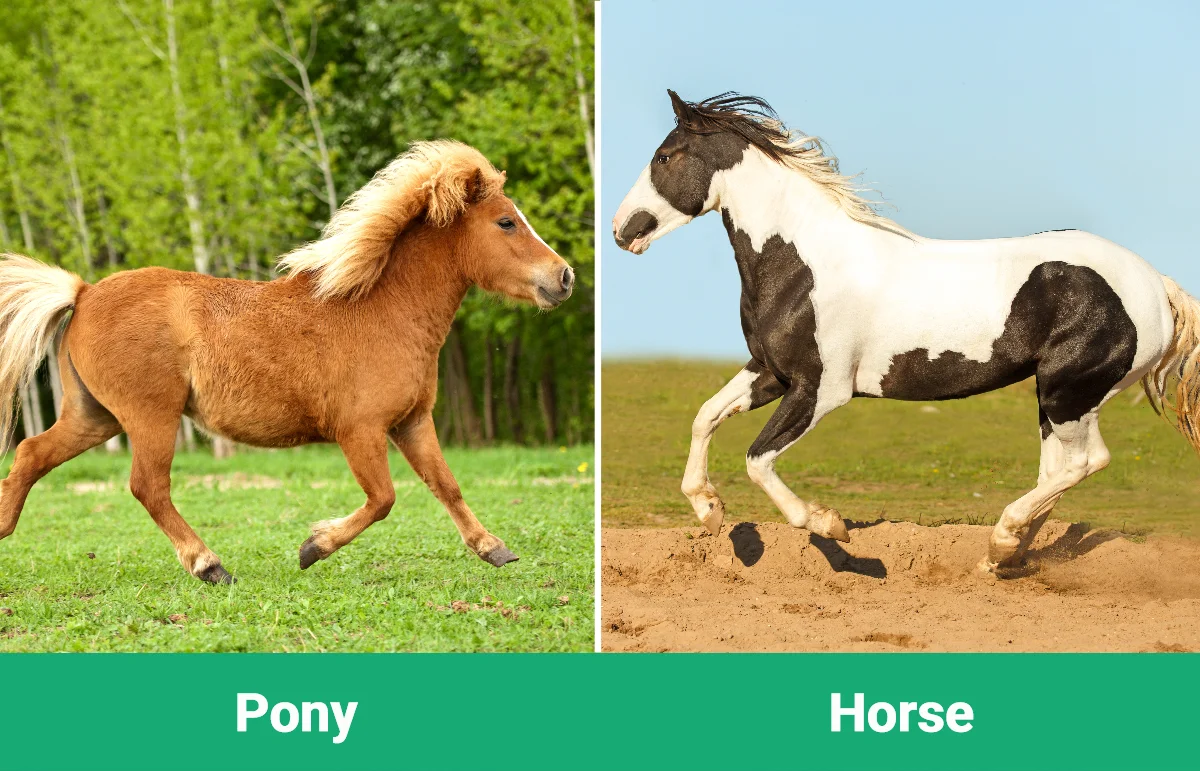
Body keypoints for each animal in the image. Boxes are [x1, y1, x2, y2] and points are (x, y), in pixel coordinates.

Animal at [0, 140, 574, 584]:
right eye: (506, 222)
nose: (564, 276)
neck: (383, 310)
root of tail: (84, 292)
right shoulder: (360, 431)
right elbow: (383, 498)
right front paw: (313, 547)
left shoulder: (412, 422)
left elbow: (446, 484)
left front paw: (493, 548)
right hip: (149, 418)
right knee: (148, 487)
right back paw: (210, 566)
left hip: (94, 417)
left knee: (30, 454)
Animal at [612, 91, 1200, 574]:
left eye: (664, 157)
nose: (621, 230)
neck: (804, 265)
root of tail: (1156, 284)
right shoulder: (771, 373)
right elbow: (704, 417)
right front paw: (710, 511)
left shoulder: (821, 389)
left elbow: (758, 460)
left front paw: (830, 524)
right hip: (1058, 395)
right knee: (1059, 469)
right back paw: (1005, 555)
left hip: (1068, 389)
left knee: (1083, 463)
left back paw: (1002, 540)